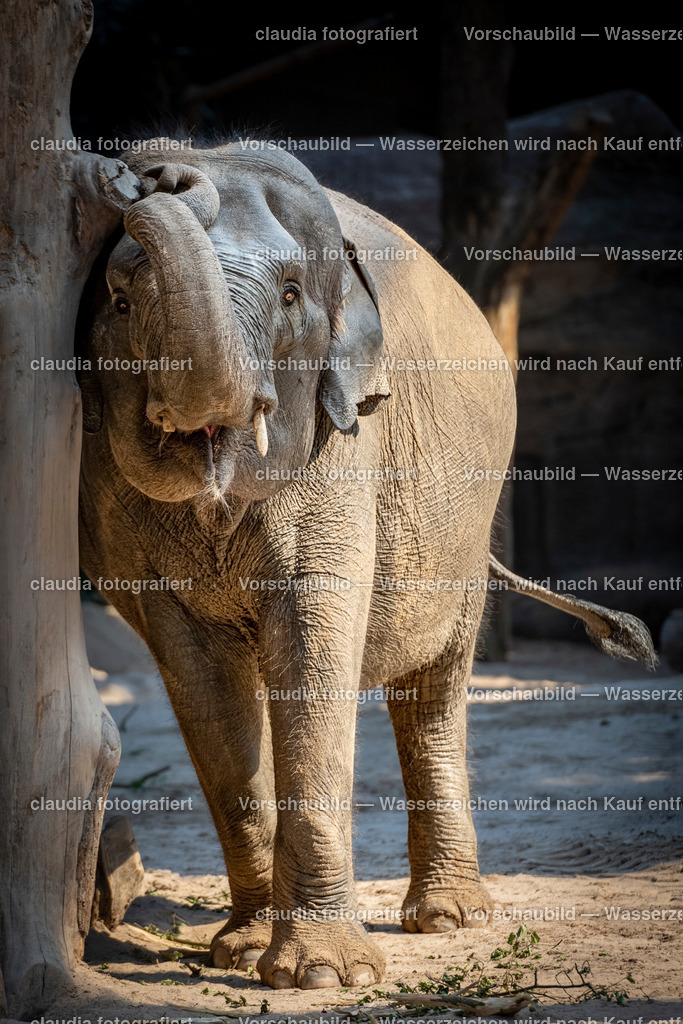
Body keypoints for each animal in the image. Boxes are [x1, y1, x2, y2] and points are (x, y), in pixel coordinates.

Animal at [78, 140, 655, 990]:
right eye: (119, 303)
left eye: (290, 296)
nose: (165, 172)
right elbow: (200, 677)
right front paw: (245, 953)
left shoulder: (345, 444)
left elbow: (312, 636)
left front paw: (323, 975)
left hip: (468, 519)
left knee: (433, 688)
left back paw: (448, 918)